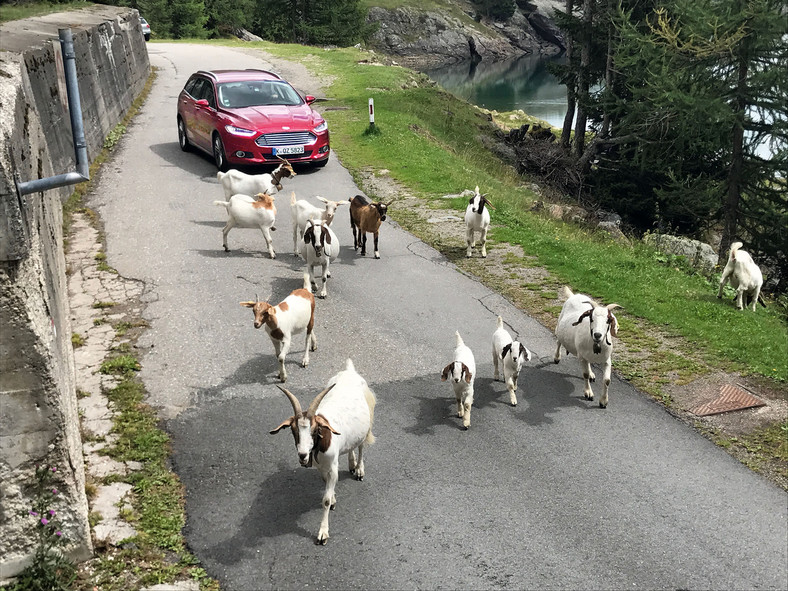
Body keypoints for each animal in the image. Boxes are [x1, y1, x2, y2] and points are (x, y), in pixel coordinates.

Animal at [270, 356, 378, 544]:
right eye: (293, 430)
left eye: (314, 430)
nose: (302, 455)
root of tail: (349, 370)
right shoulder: (320, 466)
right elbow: (325, 482)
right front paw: (333, 498)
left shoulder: (332, 466)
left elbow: (325, 500)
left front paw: (323, 533)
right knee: (351, 445)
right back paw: (352, 464)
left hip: (367, 422)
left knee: (361, 446)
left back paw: (359, 470)